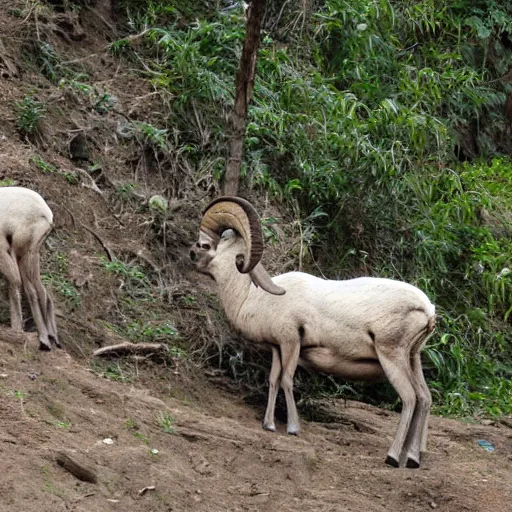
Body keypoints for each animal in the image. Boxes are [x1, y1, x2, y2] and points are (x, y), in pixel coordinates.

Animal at [0, 186, 59, 350]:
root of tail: (48, 217)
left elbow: (14, 281)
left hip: (22, 247)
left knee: (27, 286)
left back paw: (42, 337)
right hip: (29, 250)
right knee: (36, 288)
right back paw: (50, 336)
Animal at [190, 196, 438, 468]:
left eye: (206, 244)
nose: (191, 254)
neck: (251, 297)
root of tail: (427, 310)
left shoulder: (291, 341)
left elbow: (287, 380)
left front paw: (292, 428)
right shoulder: (277, 348)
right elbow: (273, 380)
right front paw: (268, 425)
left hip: (391, 356)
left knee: (410, 398)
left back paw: (393, 457)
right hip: (412, 358)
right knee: (425, 398)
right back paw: (413, 458)